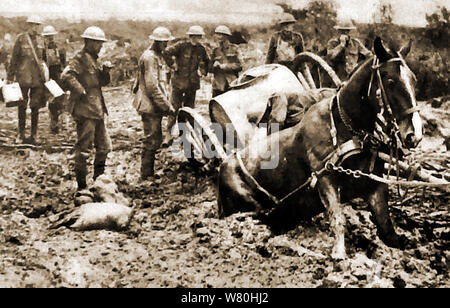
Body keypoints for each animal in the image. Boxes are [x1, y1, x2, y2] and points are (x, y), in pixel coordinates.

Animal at [218, 38, 422, 260]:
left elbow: (387, 227)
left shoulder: (374, 186)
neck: (346, 129)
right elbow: (338, 218)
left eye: (414, 80)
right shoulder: (325, 179)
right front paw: (339, 254)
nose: (414, 134)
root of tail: (224, 164)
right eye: (391, 81)